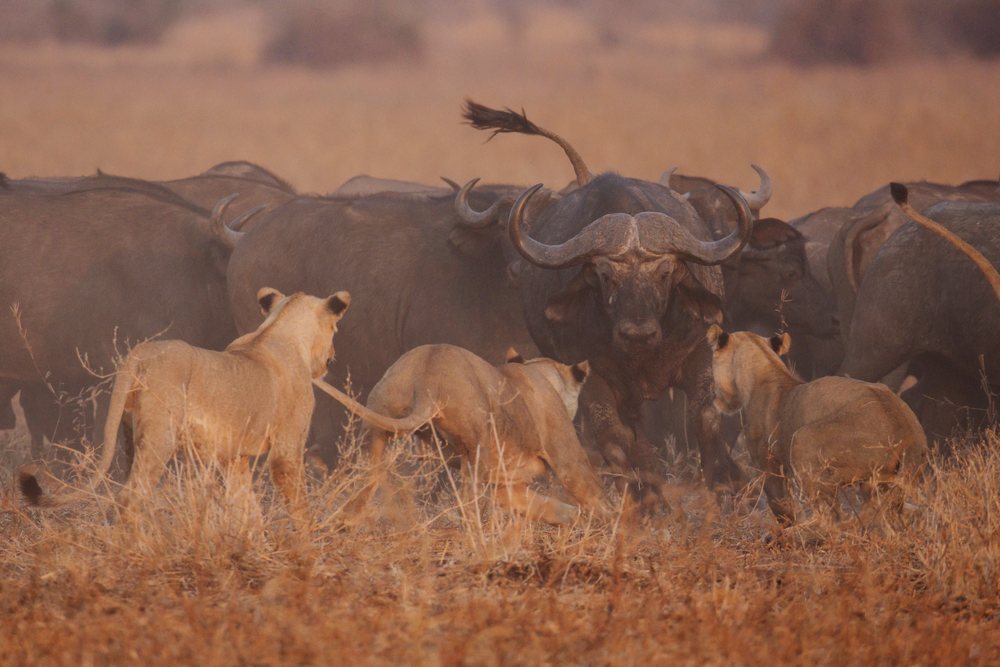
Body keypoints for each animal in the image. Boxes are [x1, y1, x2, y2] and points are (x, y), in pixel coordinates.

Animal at [19, 287, 351, 526]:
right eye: (335, 328)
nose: (332, 356)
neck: (279, 330)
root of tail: (140, 352)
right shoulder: (286, 450)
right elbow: (299, 508)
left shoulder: (232, 457)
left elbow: (246, 509)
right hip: (160, 437)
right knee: (129, 498)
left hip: (130, 436)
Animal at [313, 344, 611, 524]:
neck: (536, 371)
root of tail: (428, 377)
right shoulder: (567, 458)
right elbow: (594, 495)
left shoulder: (509, 486)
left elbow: (544, 505)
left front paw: (574, 519)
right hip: (479, 447)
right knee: (469, 500)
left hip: (376, 426)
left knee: (365, 479)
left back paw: (346, 520)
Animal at [706, 325, 926, 527]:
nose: (714, 395)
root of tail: (903, 425)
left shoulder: (768, 464)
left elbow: (782, 509)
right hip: (881, 480)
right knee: (889, 511)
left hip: (803, 440)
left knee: (834, 515)